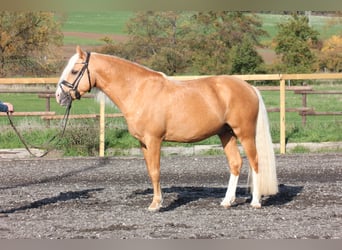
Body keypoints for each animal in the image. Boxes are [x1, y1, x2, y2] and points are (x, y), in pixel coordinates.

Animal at [56, 46, 278, 212]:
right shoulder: (143, 143)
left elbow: (155, 171)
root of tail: (249, 87)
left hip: (245, 133)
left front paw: (156, 204)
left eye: (74, 71)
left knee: (255, 162)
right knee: (235, 163)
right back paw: (226, 201)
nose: (59, 96)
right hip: (226, 133)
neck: (138, 90)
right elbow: (149, 170)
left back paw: (255, 202)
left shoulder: (154, 140)